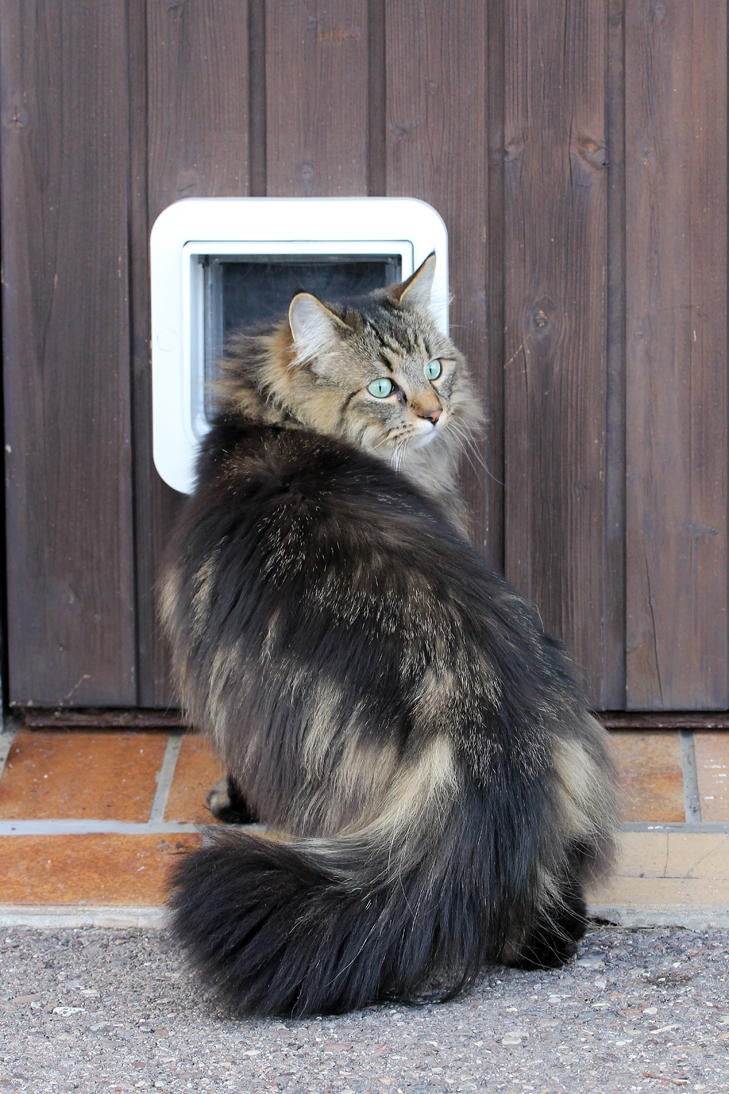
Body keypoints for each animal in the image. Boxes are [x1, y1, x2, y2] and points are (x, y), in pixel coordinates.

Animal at [158, 255, 612, 1015]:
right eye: (381, 387)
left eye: (434, 369)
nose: (431, 413)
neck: (269, 421)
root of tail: (481, 710)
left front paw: (230, 804)